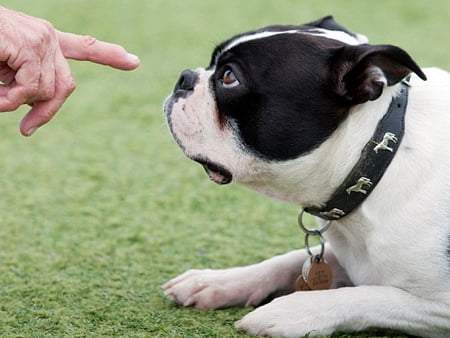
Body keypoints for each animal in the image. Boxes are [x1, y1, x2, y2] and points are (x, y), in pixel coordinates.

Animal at [163, 16, 450, 338]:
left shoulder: (437, 306)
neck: (377, 156)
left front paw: (289, 312)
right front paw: (216, 282)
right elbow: (288, 260)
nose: (185, 78)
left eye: (228, 78)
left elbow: (369, 296)